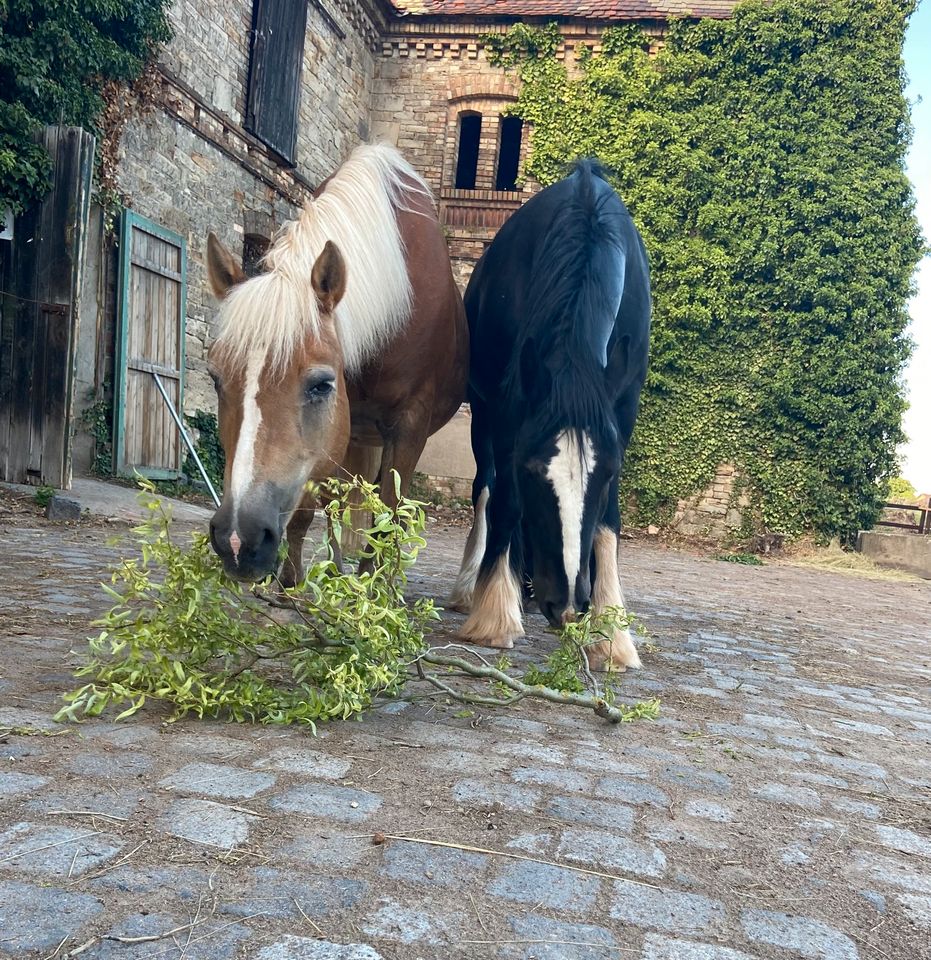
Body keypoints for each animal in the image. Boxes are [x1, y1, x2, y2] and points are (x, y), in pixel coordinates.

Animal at [204, 142, 466, 576]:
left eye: (321, 384)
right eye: (216, 379)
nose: (239, 540)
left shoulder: (409, 428)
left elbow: (388, 518)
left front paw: (371, 586)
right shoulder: (329, 442)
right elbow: (308, 511)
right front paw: (292, 582)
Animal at [450, 159, 652, 668]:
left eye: (608, 473)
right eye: (531, 470)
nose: (567, 603)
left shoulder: (622, 409)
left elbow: (609, 521)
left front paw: (610, 634)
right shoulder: (507, 412)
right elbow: (505, 500)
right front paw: (495, 615)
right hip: (481, 416)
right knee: (485, 489)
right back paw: (474, 586)